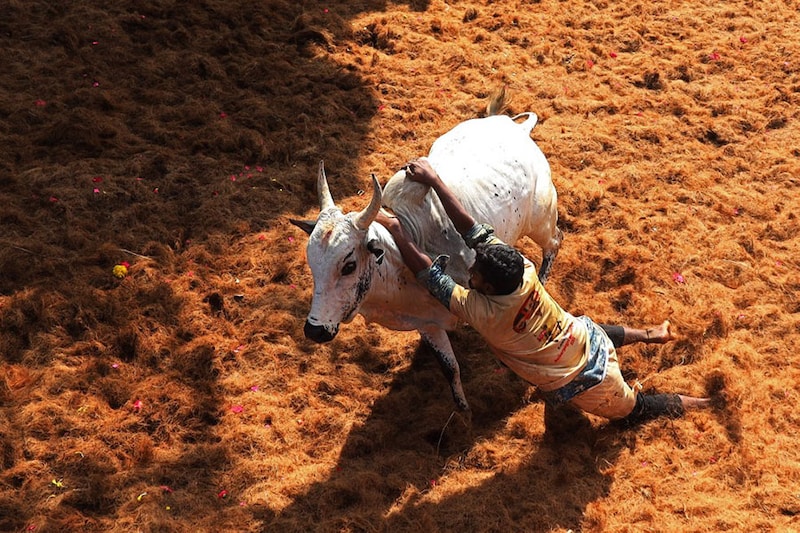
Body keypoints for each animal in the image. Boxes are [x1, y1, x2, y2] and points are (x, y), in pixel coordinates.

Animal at [289, 92, 562, 413]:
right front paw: (462, 410)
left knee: (554, 243)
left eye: (349, 265)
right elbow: (449, 368)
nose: (314, 330)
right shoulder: (429, 324)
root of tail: (515, 129)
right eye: (311, 264)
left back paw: (542, 279)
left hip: (541, 221)